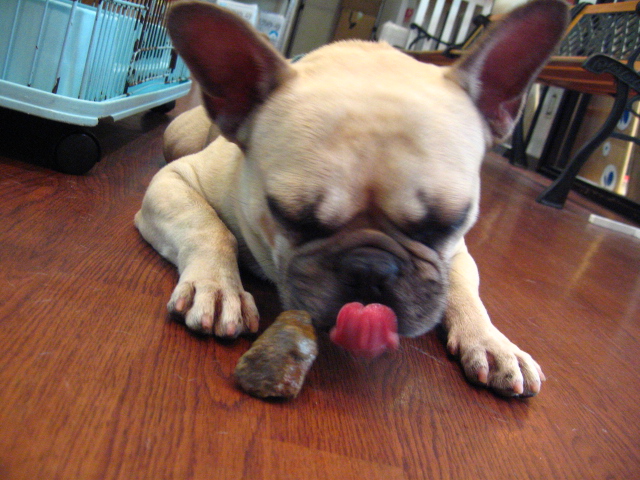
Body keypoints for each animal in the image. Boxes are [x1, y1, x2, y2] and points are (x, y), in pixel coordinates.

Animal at [135, 0, 568, 397]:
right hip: (179, 138)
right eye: (291, 217)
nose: (371, 268)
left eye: (445, 223)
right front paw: (217, 287)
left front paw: (492, 341)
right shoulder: (174, 180)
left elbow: (463, 286)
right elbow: (209, 227)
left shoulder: (458, 248)